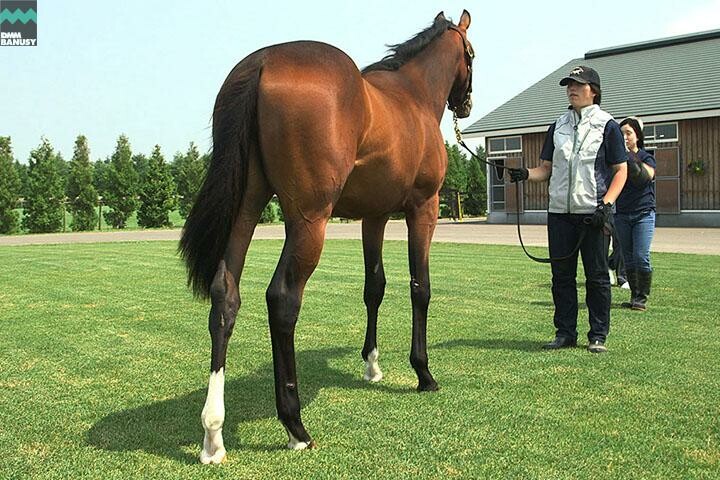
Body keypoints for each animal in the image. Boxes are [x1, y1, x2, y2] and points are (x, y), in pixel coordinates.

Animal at [179, 9, 472, 464]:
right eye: (471, 54)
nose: (467, 102)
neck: (414, 95)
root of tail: (261, 64)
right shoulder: (423, 209)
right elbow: (419, 288)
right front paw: (423, 372)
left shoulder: (374, 217)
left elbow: (374, 287)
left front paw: (372, 365)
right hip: (308, 221)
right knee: (282, 299)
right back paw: (295, 426)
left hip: (246, 207)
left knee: (225, 296)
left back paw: (213, 434)